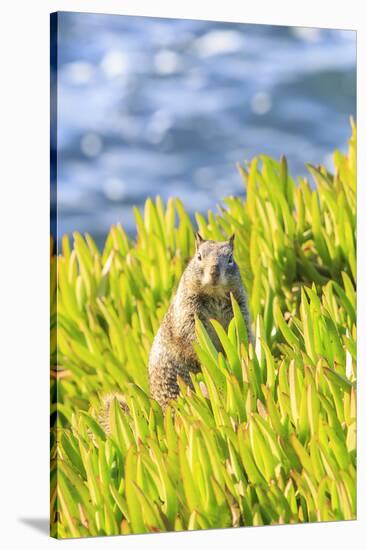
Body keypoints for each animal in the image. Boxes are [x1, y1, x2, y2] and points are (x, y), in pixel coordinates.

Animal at [148, 233, 252, 410]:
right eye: (199, 256)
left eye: (230, 258)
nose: (214, 272)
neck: (215, 295)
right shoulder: (188, 314)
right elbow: (192, 338)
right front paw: (213, 356)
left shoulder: (240, 310)